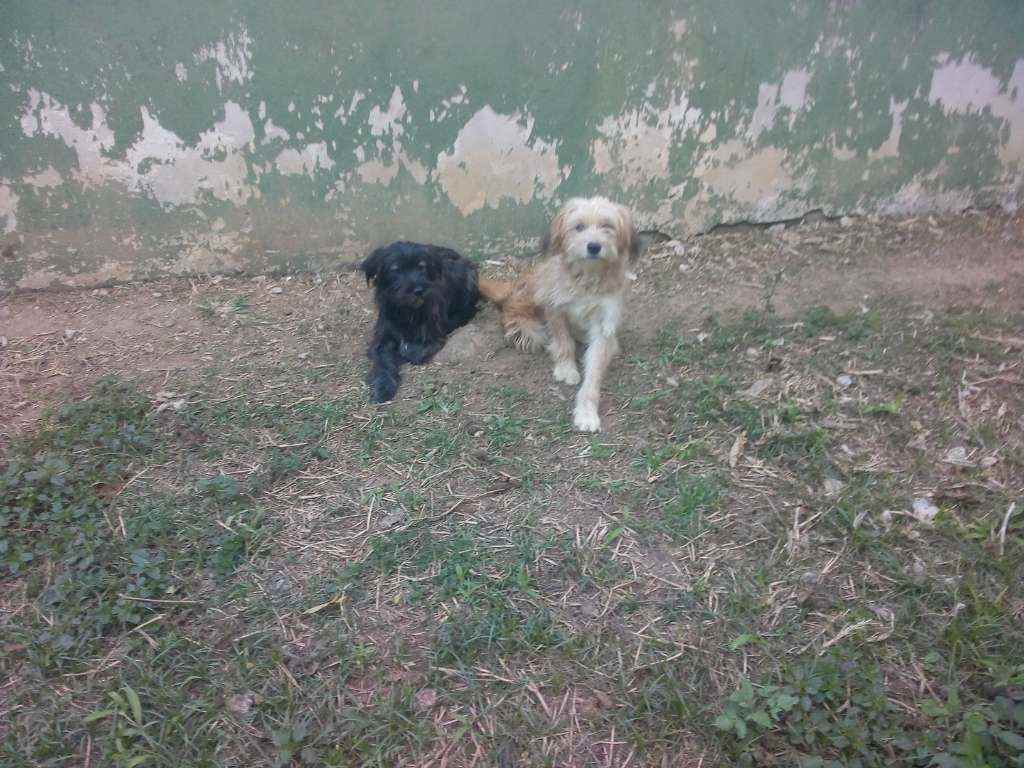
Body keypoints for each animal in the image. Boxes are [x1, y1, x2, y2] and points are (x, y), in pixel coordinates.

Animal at [361, 241, 480, 403]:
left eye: (421, 267)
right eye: (395, 269)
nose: (418, 290)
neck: (408, 310)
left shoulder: (434, 336)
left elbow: (412, 352)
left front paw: (405, 350)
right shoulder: (381, 338)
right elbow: (382, 360)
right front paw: (383, 387)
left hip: (469, 276)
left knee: (470, 309)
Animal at [478, 197, 639, 432]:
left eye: (607, 226)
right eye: (579, 227)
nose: (594, 246)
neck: (587, 279)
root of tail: (515, 284)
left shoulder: (603, 324)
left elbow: (594, 372)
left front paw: (587, 412)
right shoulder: (556, 308)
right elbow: (563, 342)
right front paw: (566, 369)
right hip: (531, 310)